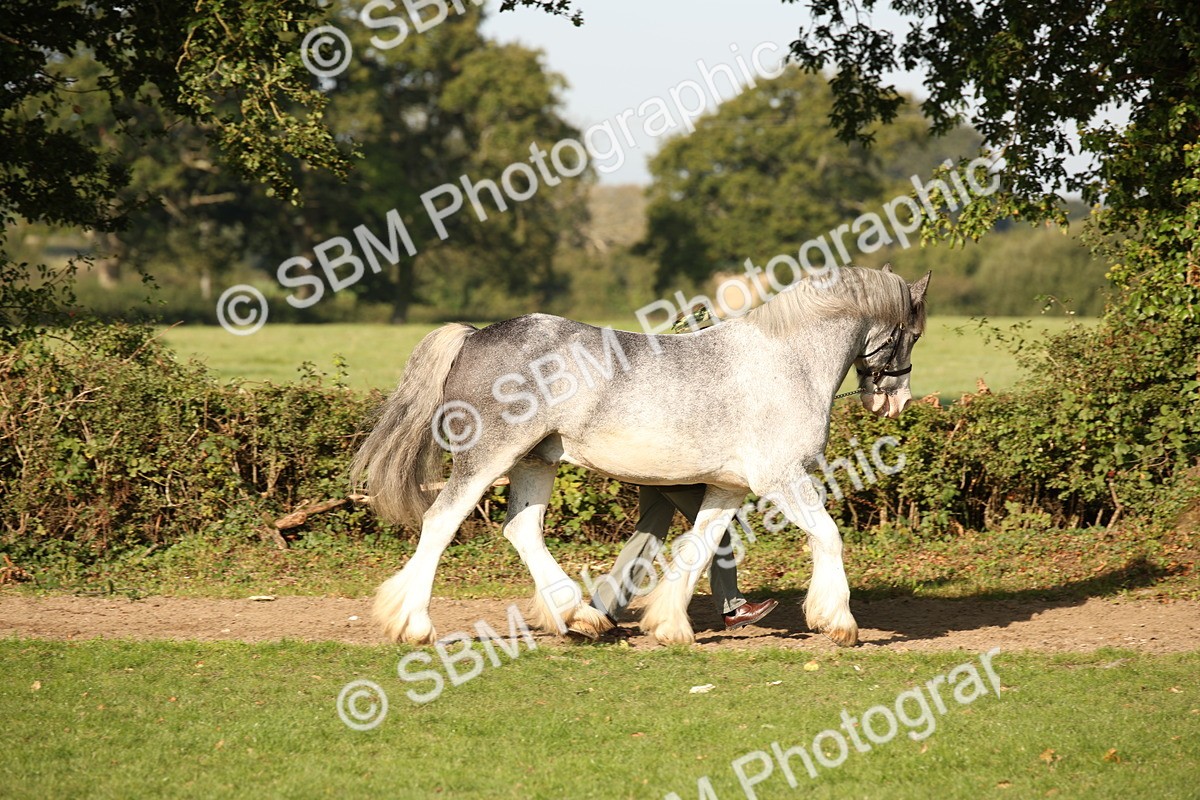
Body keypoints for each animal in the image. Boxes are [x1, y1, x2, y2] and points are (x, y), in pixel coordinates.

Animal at [351, 265, 929, 646]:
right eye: (914, 332)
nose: (896, 402)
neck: (789, 361)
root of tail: (474, 336)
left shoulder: (729, 487)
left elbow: (699, 547)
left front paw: (670, 626)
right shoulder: (781, 479)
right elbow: (828, 536)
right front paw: (838, 622)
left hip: (536, 462)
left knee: (522, 530)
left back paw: (580, 616)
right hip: (488, 457)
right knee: (440, 521)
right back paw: (414, 625)